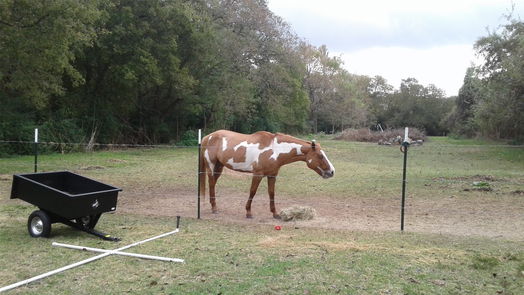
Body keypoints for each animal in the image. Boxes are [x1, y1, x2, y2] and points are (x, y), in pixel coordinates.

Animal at [199, 131, 334, 219]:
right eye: (320, 156)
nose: (332, 172)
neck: (275, 150)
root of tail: (207, 137)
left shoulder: (272, 176)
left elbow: (271, 193)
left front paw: (275, 214)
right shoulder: (257, 175)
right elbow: (252, 192)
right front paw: (248, 212)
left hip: (219, 167)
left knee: (213, 184)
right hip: (211, 166)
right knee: (211, 183)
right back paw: (214, 208)